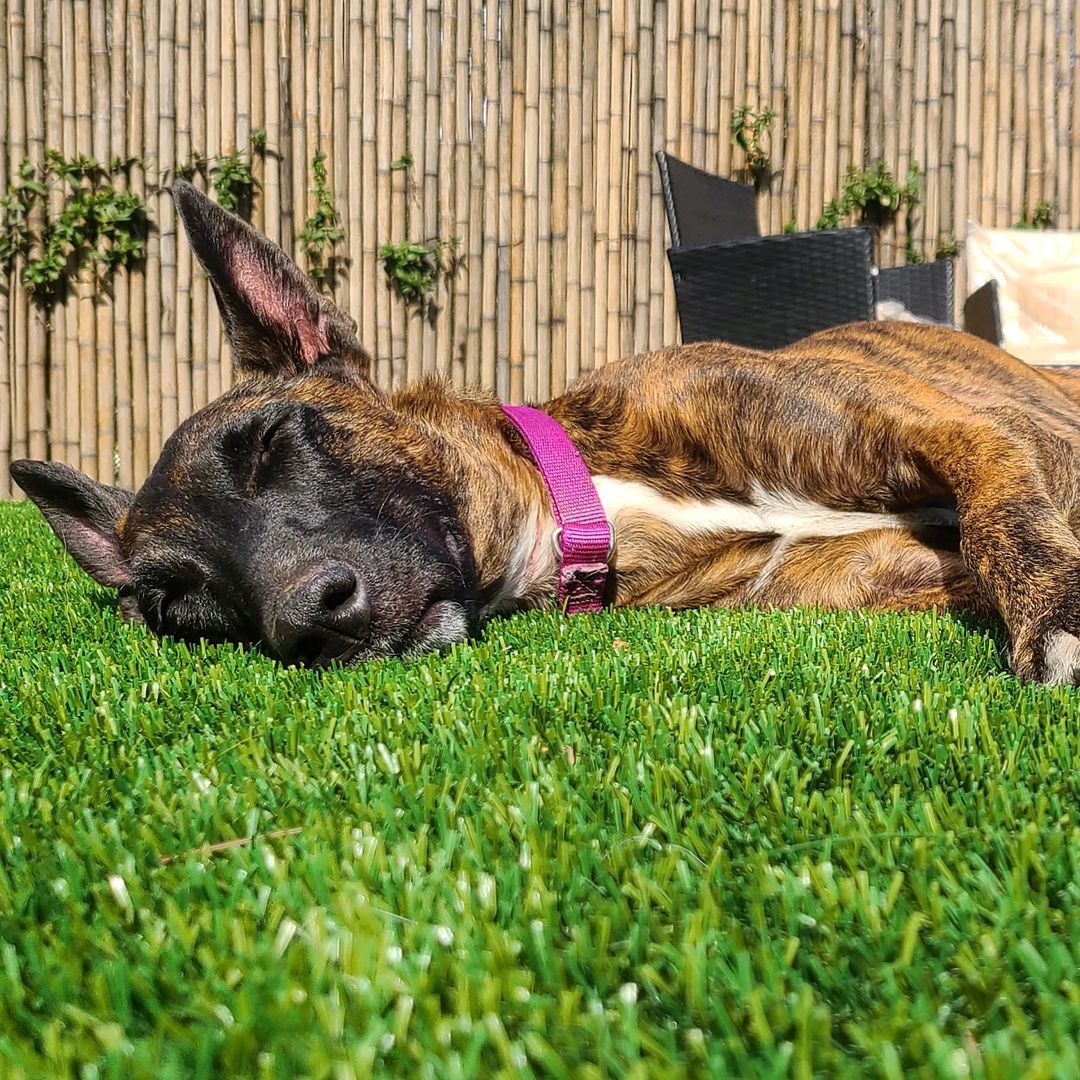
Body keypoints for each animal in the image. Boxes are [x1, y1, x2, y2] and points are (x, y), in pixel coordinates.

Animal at [8, 180, 1080, 678]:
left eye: (272, 440)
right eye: (177, 606)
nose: (309, 621)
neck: (591, 495)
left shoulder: (963, 429)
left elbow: (1004, 517)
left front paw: (1056, 613)